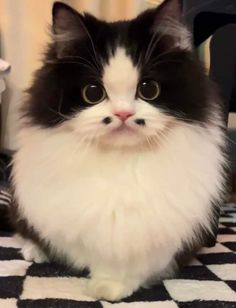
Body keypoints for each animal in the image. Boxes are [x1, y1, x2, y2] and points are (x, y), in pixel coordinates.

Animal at [10, 0, 227, 300]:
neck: (123, 161)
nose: (123, 114)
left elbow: (135, 262)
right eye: (93, 93)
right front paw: (102, 287)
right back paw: (35, 251)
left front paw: (111, 288)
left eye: (148, 89)